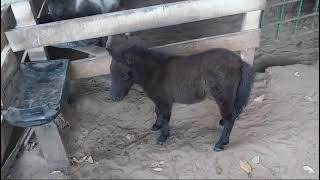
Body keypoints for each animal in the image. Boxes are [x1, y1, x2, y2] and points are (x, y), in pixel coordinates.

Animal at [110, 45, 255, 152]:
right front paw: (156, 126)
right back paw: (222, 124)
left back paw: (220, 144)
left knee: (230, 117)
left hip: (223, 97)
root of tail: (240, 62)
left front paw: (163, 137)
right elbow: (158, 112)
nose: (114, 97)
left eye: (124, 74)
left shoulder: (165, 101)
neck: (154, 72)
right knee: (234, 113)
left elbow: (165, 117)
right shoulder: (159, 100)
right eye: (111, 72)